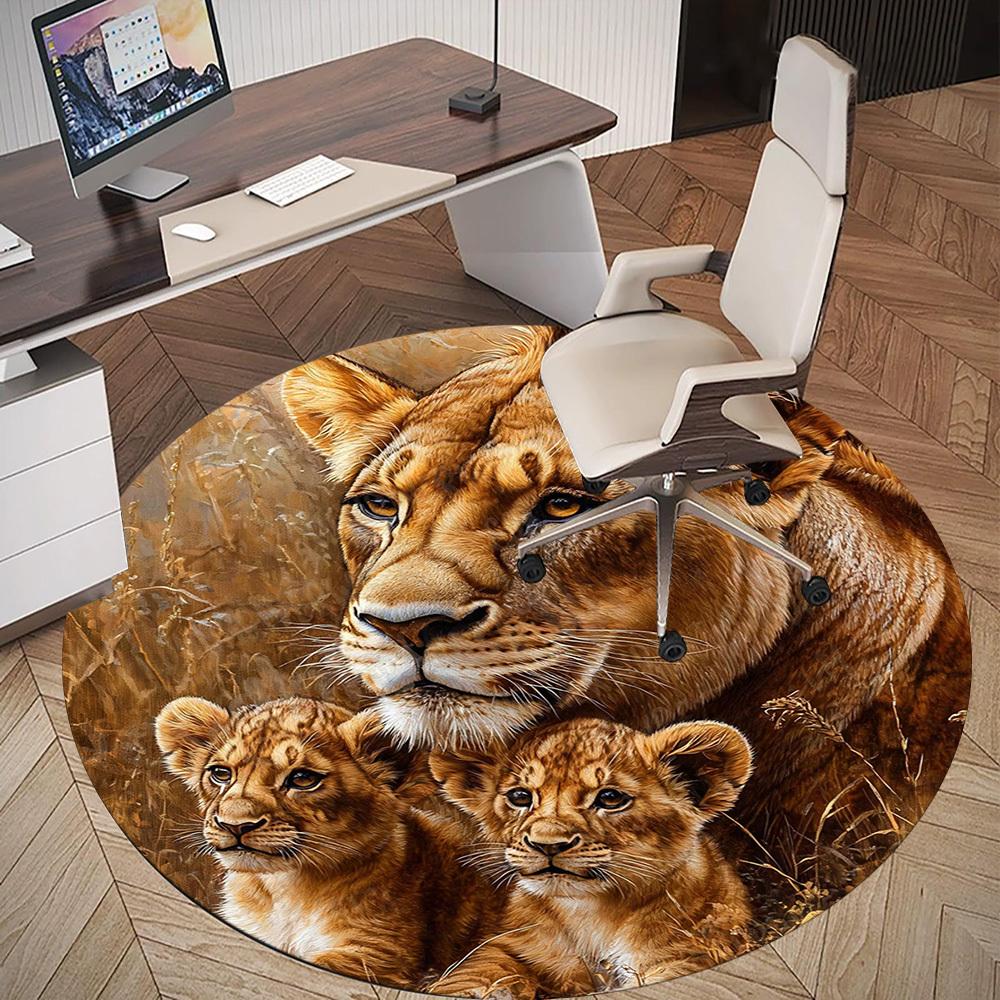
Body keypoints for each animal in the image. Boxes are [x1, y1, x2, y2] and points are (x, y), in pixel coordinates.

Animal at [428, 716, 754, 997]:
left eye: (610, 798)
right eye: (520, 797)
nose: (547, 844)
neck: (591, 912)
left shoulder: (688, 954)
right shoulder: (509, 947)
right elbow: (475, 974)